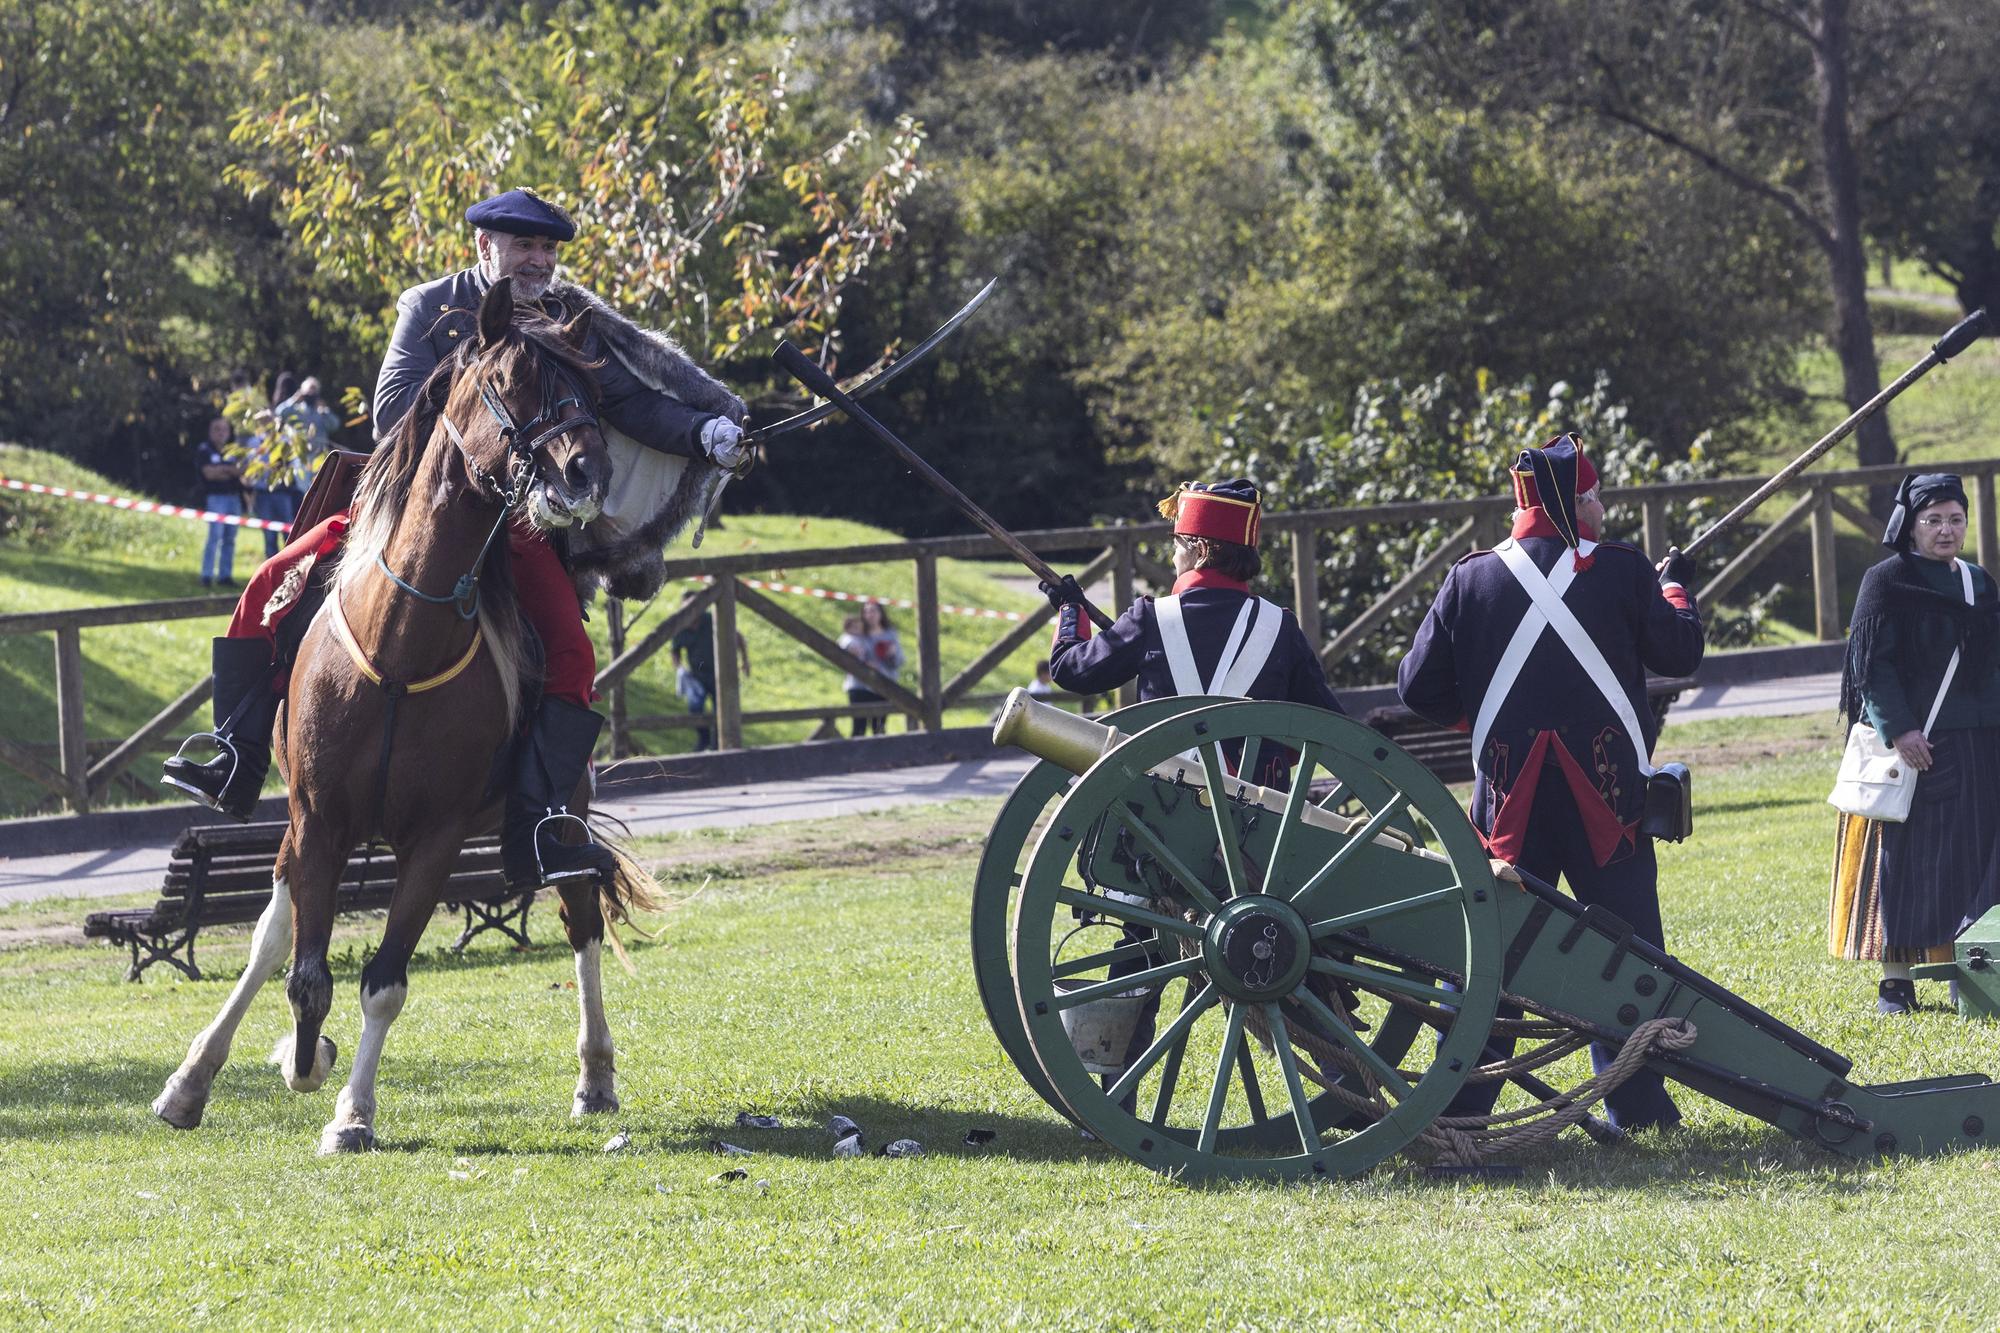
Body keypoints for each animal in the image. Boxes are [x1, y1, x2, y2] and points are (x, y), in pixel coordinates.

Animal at [158, 278, 656, 1144]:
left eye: (595, 395)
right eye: (512, 384)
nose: (585, 474)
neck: (401, 643)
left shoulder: (436, 837)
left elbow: (382, 979)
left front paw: (351, 1112)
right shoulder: (316, 817)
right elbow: (303, 972)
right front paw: (304, 1058)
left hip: (563, 814)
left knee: (582, 916)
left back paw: (596, 1074)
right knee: (272, 937)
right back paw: (192, 1079)